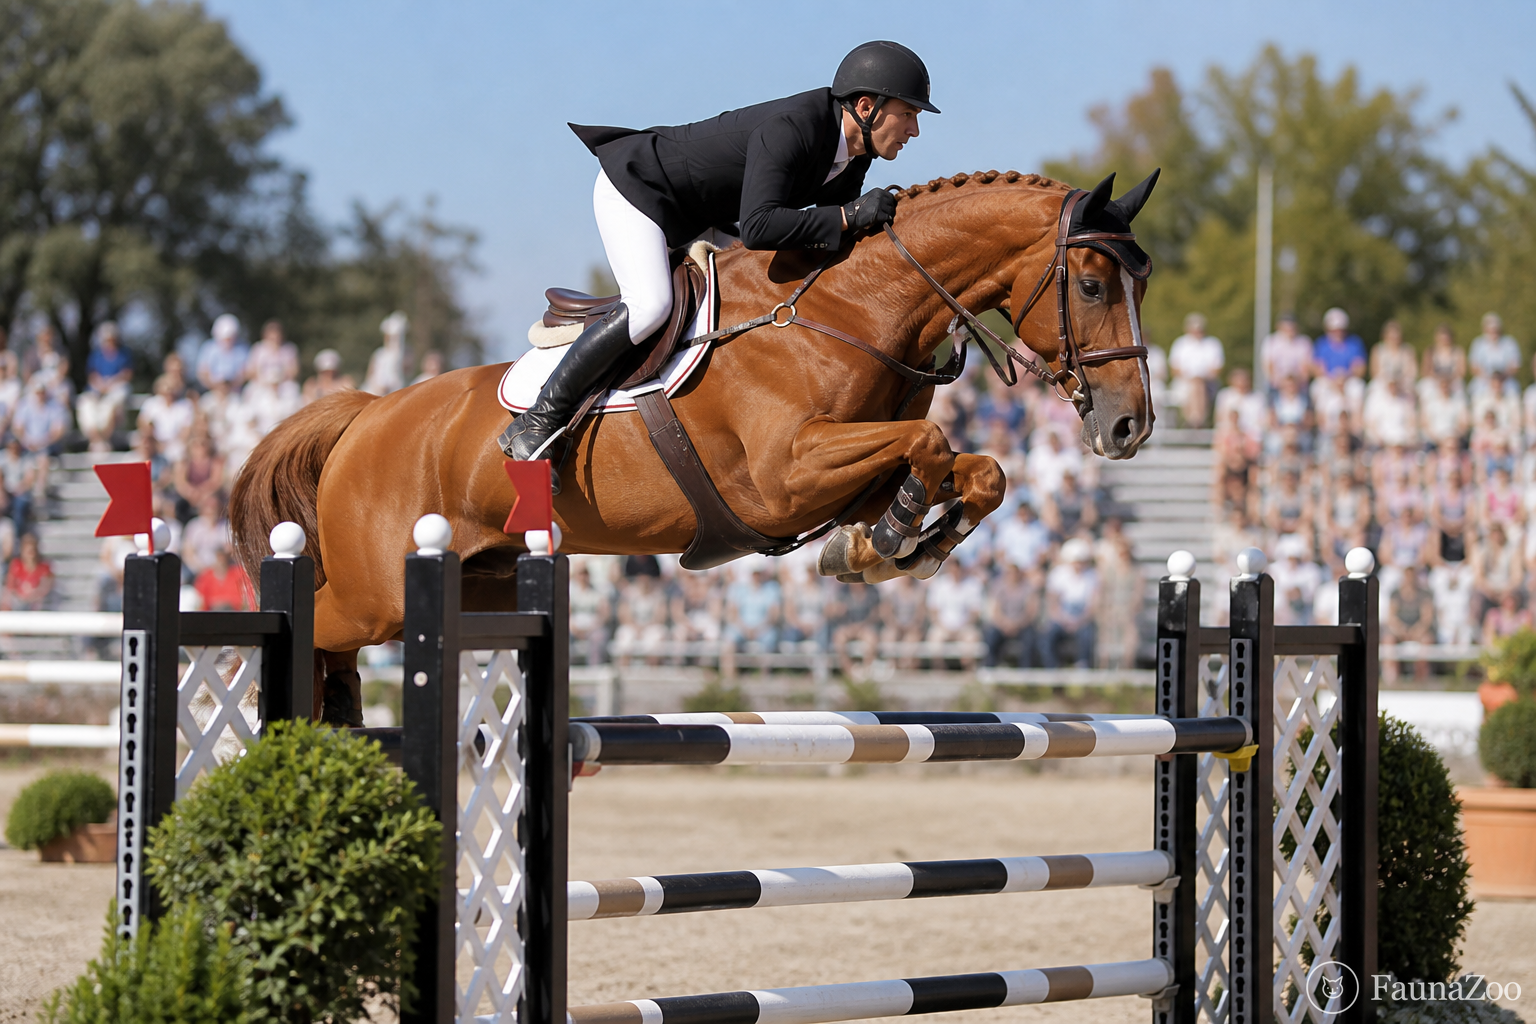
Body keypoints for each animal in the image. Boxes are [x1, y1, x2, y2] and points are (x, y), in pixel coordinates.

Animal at [231, 168, 1158, 720]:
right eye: (1090, 284)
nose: (1130, 427)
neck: (854, 308)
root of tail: (367, 415)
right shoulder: (784, 478)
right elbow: (928, 441)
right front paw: (886, 543)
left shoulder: (842, 472)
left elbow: (977, 468)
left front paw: (891, 546)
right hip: (378, 592)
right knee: (312, 630)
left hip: (476, 584)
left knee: (342, 653)